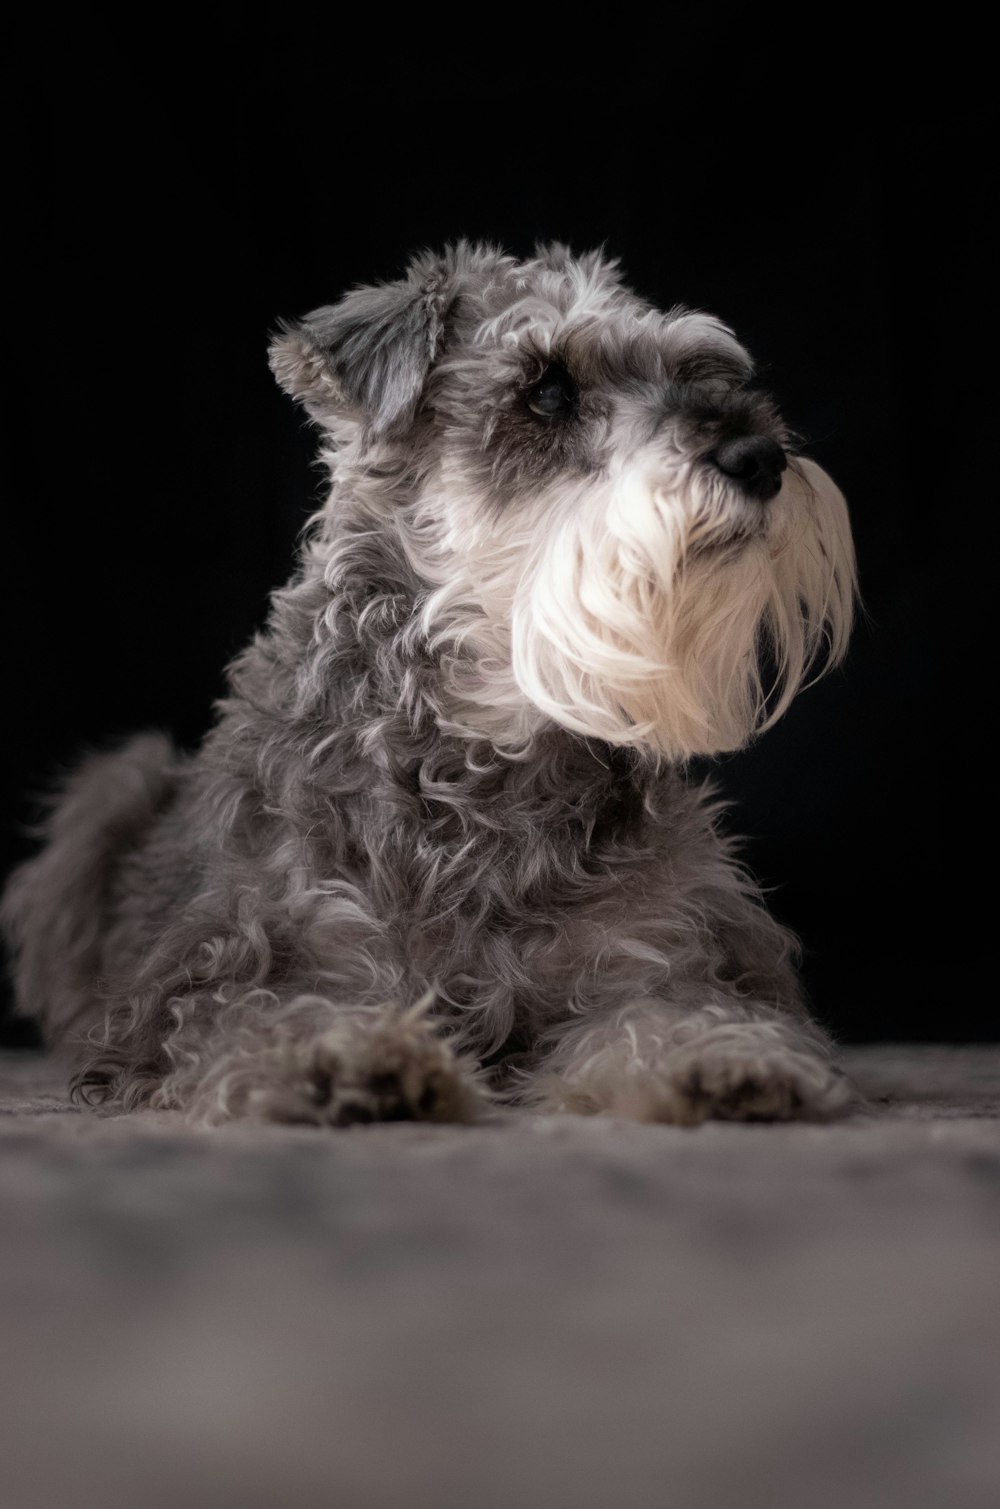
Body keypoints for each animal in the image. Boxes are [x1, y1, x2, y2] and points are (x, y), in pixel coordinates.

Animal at [3, 241, 856, 1128]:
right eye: (547, 390)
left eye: (699, 372)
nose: (759, 457)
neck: (478, 756)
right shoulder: (232, 959)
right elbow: (266, 1012)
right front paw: (347, 1053)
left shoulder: (659, 943)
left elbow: (676, 1008)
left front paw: (724, 1057)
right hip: (111, 784)